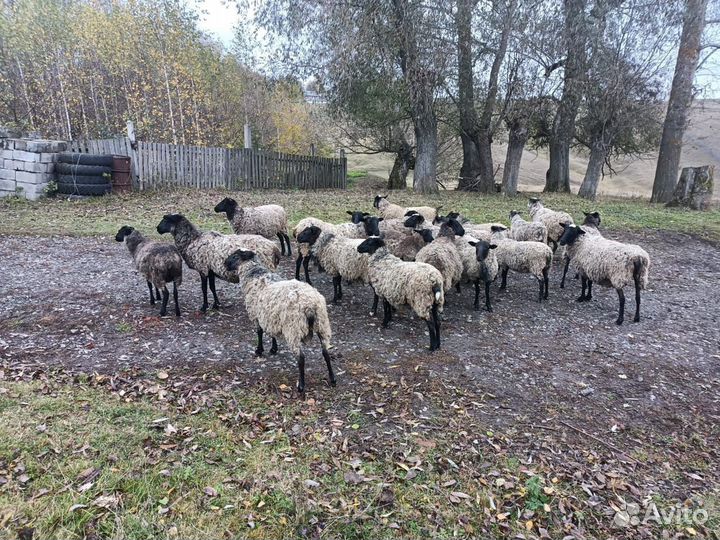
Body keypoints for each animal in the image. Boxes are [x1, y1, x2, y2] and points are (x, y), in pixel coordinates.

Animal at [224, 249, 335, 394]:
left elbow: (259, 332)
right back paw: (332, 379)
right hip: (322, 325)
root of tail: (310, 305)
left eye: (235, 256)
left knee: (301, 358)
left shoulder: (256, 315)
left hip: (294, 328)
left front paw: (259, 350)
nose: (224, 263)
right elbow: (272, 333)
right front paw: (273, 348)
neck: (253, 275)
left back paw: (301, 386)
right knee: (326, 353)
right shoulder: (270, 316)